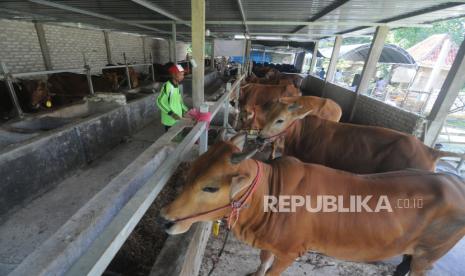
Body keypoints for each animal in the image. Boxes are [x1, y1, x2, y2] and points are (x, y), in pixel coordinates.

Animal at [161, 132, 464, 276]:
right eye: (191, 172)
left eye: (211, 187)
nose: (165, 218)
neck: (270, 197)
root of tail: (454, 181)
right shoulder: (269, 246)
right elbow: (262, 263)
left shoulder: (290, 253)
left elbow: (272, 270)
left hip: (427, 257)